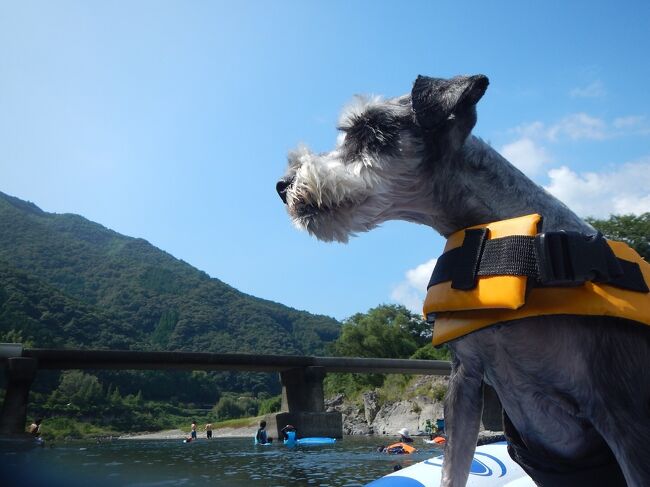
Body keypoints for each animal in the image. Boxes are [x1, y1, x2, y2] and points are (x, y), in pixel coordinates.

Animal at [276, 73, 648, 487]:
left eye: (371, 130)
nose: (283, 185)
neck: (500, 243)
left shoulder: (620, 409)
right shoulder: (466, 378)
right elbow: (453, 467)